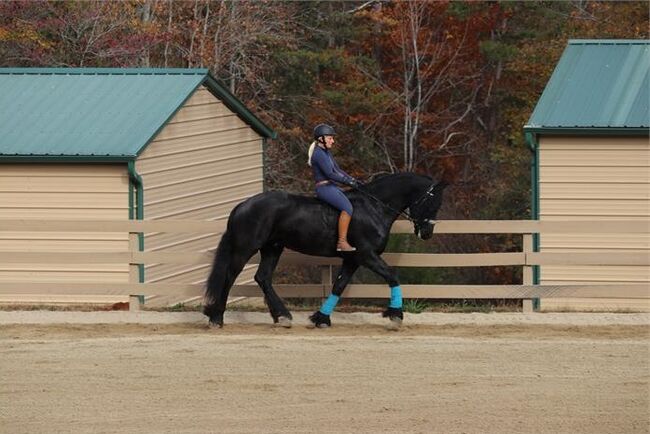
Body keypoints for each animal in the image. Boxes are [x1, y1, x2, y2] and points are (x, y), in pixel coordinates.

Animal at [202, 171, 446, 328]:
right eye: (432, 202)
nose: (427, 233)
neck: (374, 207)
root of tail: (243, 205)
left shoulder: (352, 259)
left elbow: (339, 285)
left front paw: (321, 318)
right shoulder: (366, 255)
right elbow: (392, 276)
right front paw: (396, 315)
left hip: (272, 248)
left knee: (263, 277)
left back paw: (282, 316)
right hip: (245, 248)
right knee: (230, 276)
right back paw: (217, 318)